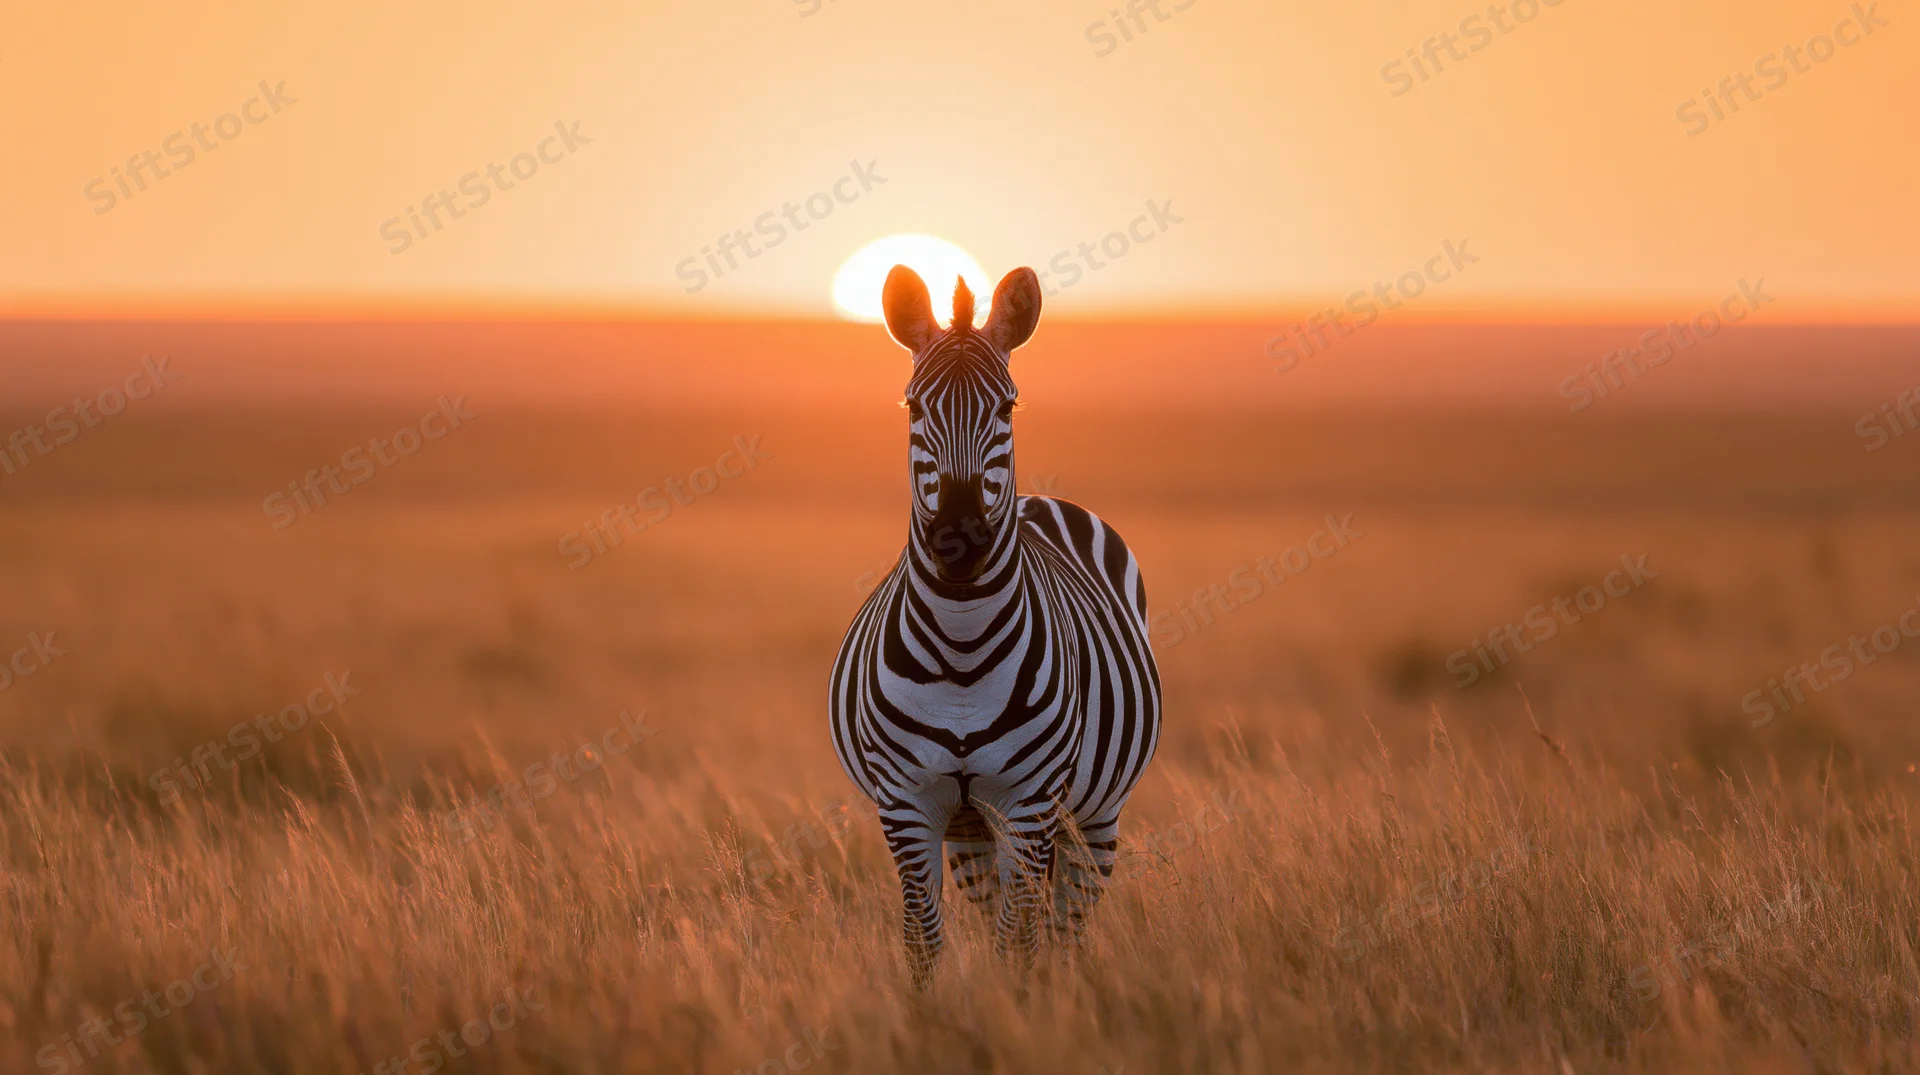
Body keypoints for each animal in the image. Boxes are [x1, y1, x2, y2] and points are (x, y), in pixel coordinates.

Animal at [828, 264, 1162, 982]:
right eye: (913, 407)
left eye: (1007, 408)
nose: (960, 540)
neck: (961, 646)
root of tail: (1040, 498)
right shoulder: (908, 803)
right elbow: (925, 938)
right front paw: (934, 1014)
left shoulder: (1028, 801)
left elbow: (1021, 938)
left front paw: (1022, 1008)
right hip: (971, 829)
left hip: (1095, 816)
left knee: (1066, 922)